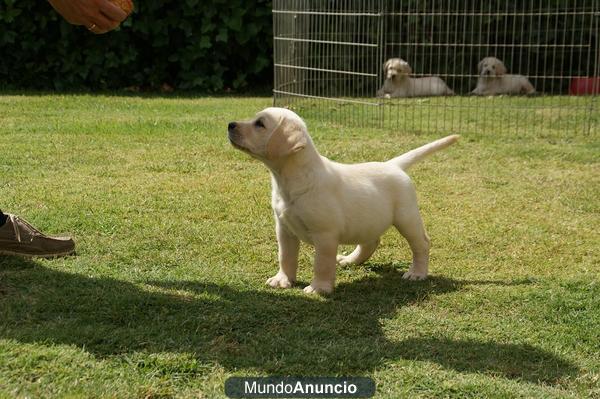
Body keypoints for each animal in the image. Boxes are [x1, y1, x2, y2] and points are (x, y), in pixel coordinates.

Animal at [227, 108, 458, 296]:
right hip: (368, 219)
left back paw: (417, 273)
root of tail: (393, 165)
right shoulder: (285, 229)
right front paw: (283, 279)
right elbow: (285, 256)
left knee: (422, 243)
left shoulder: (325, 235)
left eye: (260, 124)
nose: (230, 124)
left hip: (406, 217)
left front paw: (319, 288)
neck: (290, 178)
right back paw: (350, 260)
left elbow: (322, 264)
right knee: (371, 241)